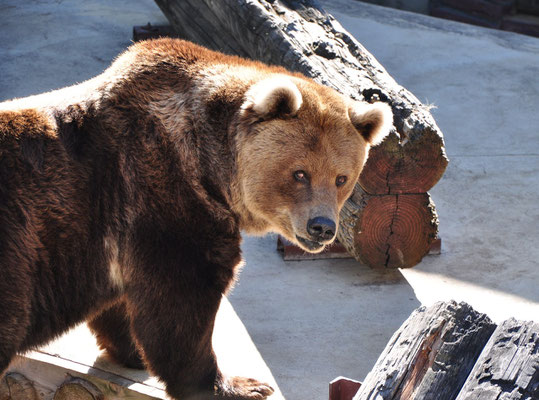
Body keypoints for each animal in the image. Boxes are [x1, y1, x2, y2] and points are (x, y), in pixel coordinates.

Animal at [0, 38, 390, 400]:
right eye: (300, 173)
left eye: (341, 178)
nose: (322, 226)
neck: (210, 164)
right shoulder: (161, 193)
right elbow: (182, 297)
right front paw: (236, 385)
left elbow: (123, 302)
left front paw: (134, 353)